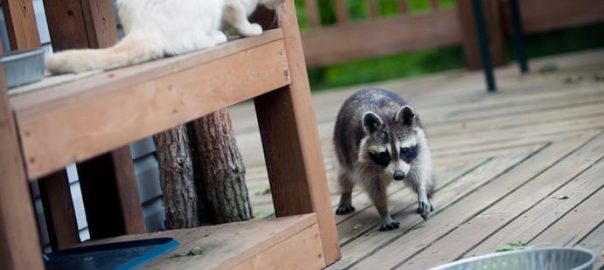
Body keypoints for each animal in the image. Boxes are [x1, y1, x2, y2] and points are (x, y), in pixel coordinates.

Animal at [44, 0, 286, 74]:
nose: (283, 5)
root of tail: (143, 26)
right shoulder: (233, 5)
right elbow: (241, 19)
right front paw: (252, 29)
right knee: (193, 42)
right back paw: (217, 36)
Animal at [336, 88, 434, 230]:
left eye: (404, 150)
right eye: (384, 155)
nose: (399, 175)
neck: (385, 117)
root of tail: (365, 88)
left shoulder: (417, 149)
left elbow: (417, 173)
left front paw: (421, 190)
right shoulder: (359, 159)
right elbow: (374, 189)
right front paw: (383, 211)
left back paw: (428, 194)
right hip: (342, 151)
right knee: (344, 174)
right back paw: (345, 193)